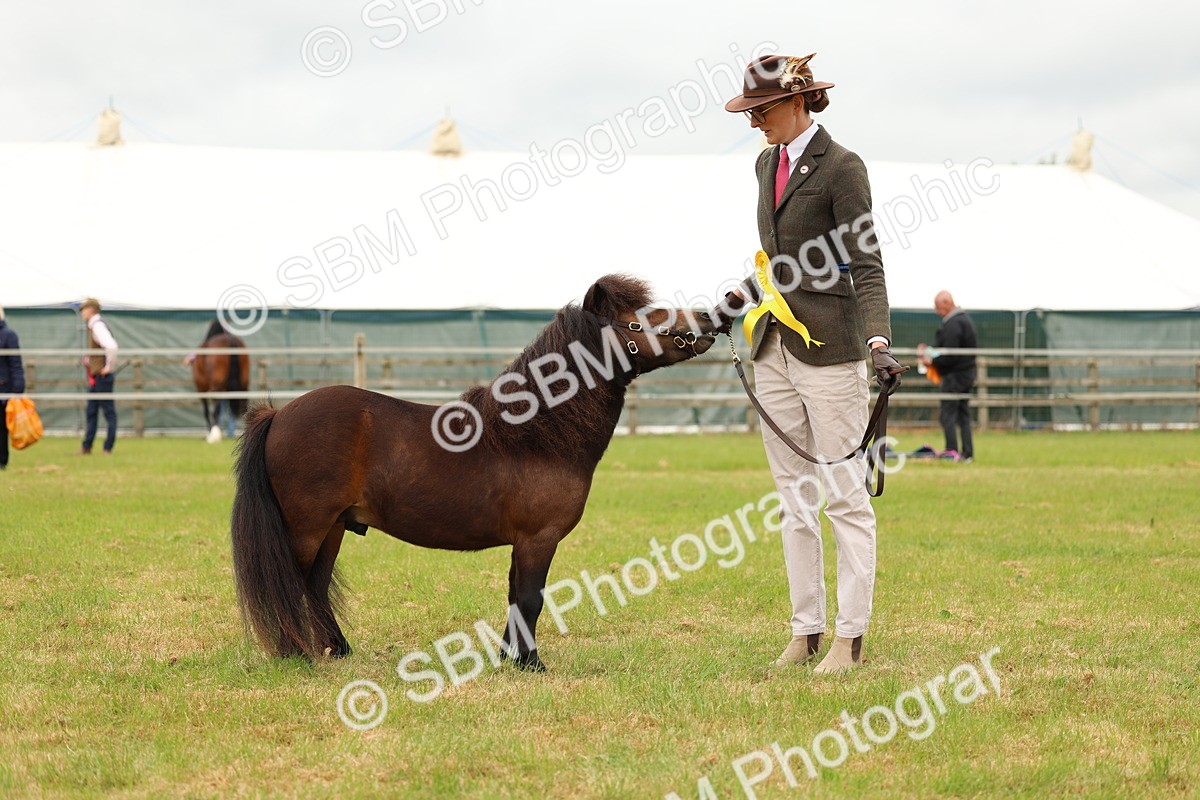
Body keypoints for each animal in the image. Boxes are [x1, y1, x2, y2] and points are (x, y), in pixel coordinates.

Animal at [230, 274, 719, 670]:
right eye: (642, 317)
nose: (708, 319)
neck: (536, 435)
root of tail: (279, 413)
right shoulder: (538, 538)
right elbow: (531, 599)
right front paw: (531, 665)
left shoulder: (523, 543)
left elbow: (515, 597)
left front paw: (509, 658)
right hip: (307, 527)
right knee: (291, 583)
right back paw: (298, 653)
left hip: (333, 527)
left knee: (314, 587)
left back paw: (338, 651)